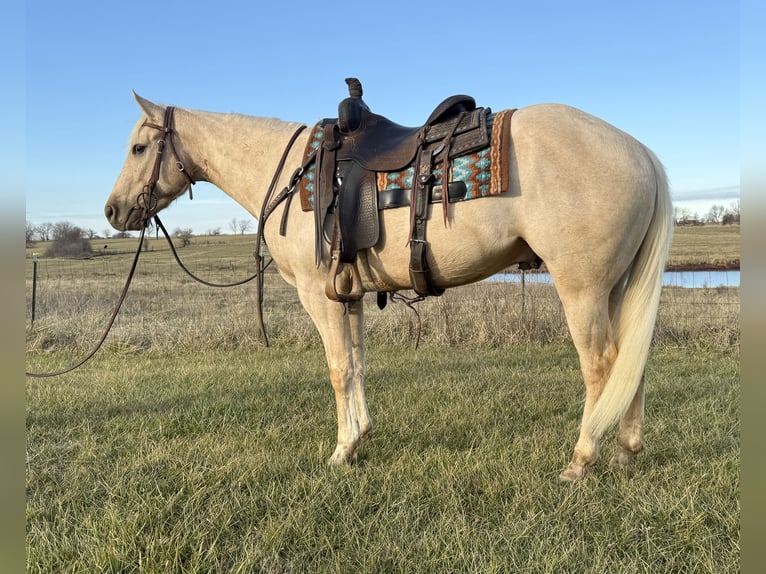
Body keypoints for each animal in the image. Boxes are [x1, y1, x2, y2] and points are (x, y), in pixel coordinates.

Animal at [106, 91, 672, 482]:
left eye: (138, 147)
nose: (113, 211)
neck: (292, 175)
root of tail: (641, 152)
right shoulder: (348, 295)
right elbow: (357, 364)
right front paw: (359, 440)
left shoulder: (318, 295)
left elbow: (338, 370)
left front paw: (340, 451)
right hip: (614, 288)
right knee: (630, 362)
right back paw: (625, 453)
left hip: (582, 288)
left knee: (600, 365)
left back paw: (581, 460)